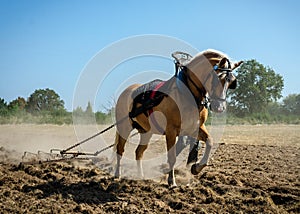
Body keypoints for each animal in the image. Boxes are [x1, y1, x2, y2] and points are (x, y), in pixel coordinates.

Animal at [113, 49, 243, 186]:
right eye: (217, 78)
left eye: (231, 82)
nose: (220, 107)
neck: (188, 94)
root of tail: (126, 91)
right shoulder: (171, 130)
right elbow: (172, 157)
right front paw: (172, 181)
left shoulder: (195, 127)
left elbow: (210, 142)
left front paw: (196, 167)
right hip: (124, 127)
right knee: (120, 150)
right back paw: (117, 174)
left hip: (146, 131)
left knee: (139, 152)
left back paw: (141, 176)